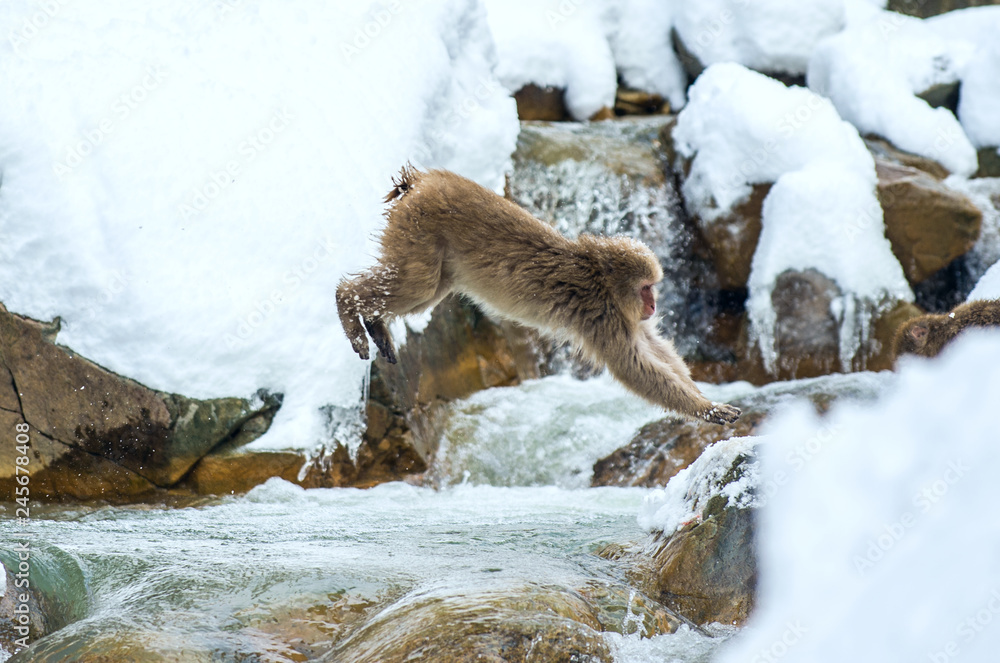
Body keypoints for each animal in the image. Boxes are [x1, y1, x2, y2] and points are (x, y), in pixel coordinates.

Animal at [336, 166, 741, 425]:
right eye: (647, 288)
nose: (653, 305)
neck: (599, 277)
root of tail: (421, 181)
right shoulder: (603, 317)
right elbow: (633, 366)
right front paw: (707, 409)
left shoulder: (625, 317)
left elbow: (654, 348)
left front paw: (705, 397)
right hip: (419, 228)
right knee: (415, 285)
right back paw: (347, 304)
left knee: (427, 292)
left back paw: (374, 322)